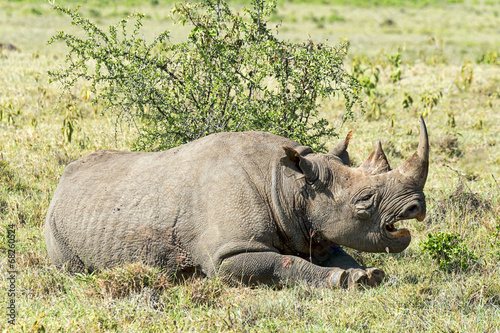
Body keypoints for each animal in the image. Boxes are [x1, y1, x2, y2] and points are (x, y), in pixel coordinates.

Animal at [46, 116, 430, 286]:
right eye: (364, 199)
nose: (416, 207)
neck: (289, 186)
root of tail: (60, 184)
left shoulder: (310, 229)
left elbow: (342, 254)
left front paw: (367, 275)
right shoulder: (226, 254)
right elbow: (284, 264)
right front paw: (343, 280)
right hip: (55, 227)